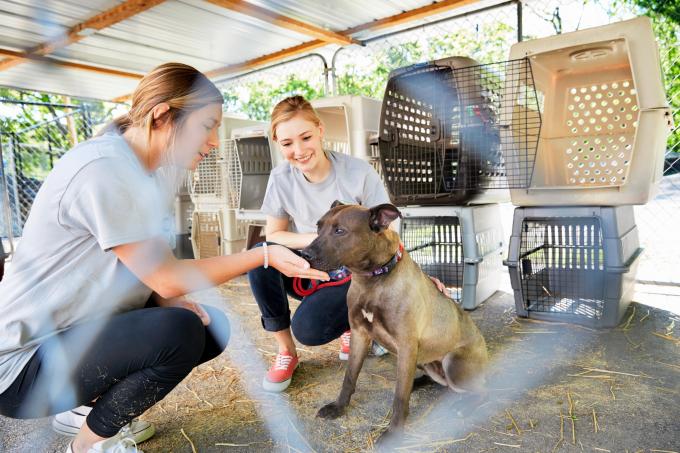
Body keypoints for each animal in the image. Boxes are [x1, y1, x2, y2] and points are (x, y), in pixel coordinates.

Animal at [302, 202, 488, 442]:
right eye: (318, 226)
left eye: (340, 231)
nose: (303, 254)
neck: (373, 279)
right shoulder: (360, 335)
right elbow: (349, 377)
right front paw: (339, 407)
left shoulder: (406, 345)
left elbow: (399, 397)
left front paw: (394, 432)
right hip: (423, 359)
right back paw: (417, 383)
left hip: (452, 362)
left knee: (482, 391)